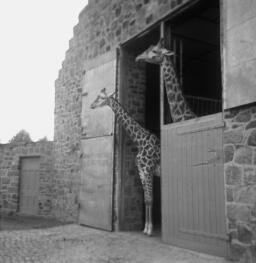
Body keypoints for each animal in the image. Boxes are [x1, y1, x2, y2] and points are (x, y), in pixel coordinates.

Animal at [90, 88, 160, 237]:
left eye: (100, 97)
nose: (91, 105)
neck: (140, 141)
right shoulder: (142, 172)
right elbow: (146, 200)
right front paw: (145, 229)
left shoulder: (148, 170)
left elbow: (150, 199)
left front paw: (150, 230)